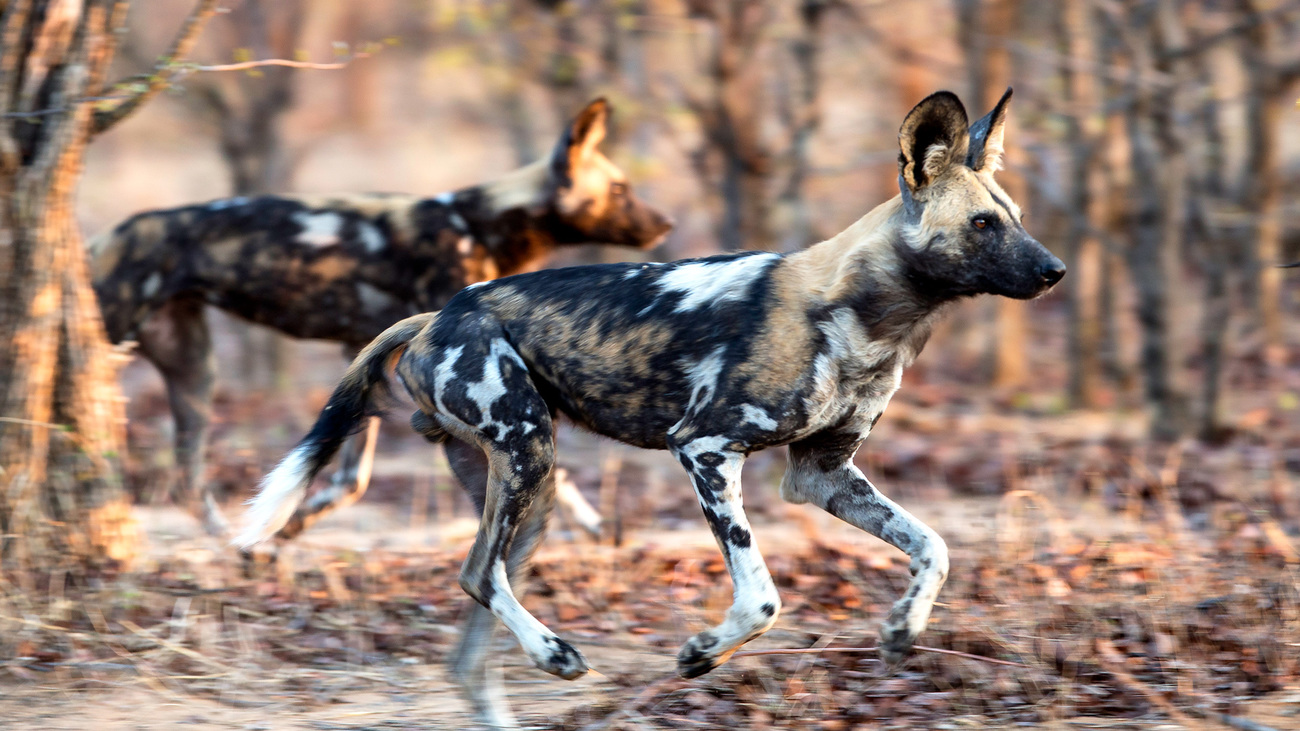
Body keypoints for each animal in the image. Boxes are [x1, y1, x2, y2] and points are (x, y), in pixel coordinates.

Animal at [89, 98, 670, 535]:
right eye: (620, 189)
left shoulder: (362, 353)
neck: (479, 224)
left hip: (196, 374)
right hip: (119, 344)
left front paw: (286, 531)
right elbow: (557, 472)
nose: (665, 223)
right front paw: (594, 526)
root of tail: (104, 236)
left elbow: (350, 479)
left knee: (187, 483)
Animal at [236, 89, 1066, 723]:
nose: (1055, 270)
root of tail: (437, 314)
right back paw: (555, 652)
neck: (873, 317)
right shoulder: (703, 449)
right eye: (983, 224)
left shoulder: (823, 475)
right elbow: (762, 598)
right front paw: (702, 651)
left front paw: (902, 627)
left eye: (1019, 215)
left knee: (472, 643)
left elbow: (935, 546)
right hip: (529, 451)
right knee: (476, 574)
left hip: (529, 489)